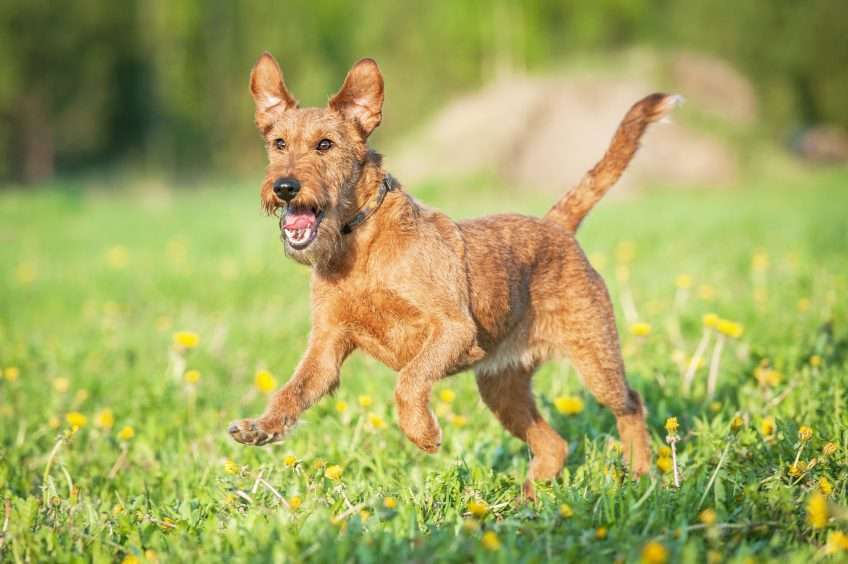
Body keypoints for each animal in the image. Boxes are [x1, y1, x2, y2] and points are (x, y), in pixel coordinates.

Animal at [229, 50, 680, 496]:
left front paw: (422, 433)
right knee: (553, 445)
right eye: (278, 144)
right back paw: (527, 502)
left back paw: (642, 475)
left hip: (595, 357)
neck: (358, 244)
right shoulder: (326, 346)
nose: (284, 187)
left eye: (325, 144)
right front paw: (261, 427)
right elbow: (293, 391)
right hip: (501, 387)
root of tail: (556, 226)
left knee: (631, 404)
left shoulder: (453, 328)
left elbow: (409, 379)